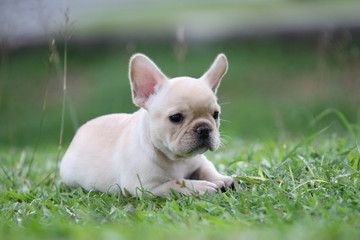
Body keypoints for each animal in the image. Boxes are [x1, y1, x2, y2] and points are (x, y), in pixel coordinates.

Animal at [59, 53, 233, 196]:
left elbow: (208, 169)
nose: (204, 129)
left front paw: (222, 178)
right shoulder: (146, 187)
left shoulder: (200, 161)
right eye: (176, 117)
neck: (176, 159)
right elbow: (176, 183)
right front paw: (200, 187)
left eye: (215, 115)